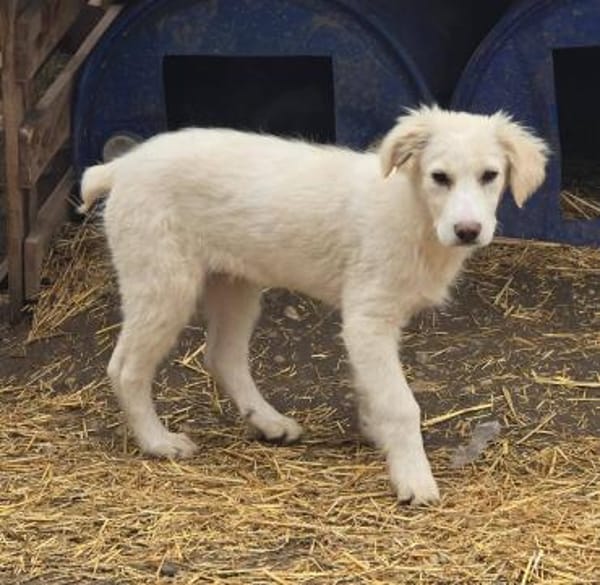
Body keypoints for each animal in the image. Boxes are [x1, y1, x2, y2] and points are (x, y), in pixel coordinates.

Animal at [79, 106, 548, 505]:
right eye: (440, 177)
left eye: (490, 175)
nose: (468, 230)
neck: (415, 213)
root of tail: (123, 166)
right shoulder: (368, 318)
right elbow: (401, 404)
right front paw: (413, 478)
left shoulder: (366, 325)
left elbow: (372, 387)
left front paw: (376, 433)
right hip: (164, 285)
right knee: (126, 369)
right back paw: (158, 442)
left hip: (235, 286)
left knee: (223, 356)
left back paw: (270, 423)